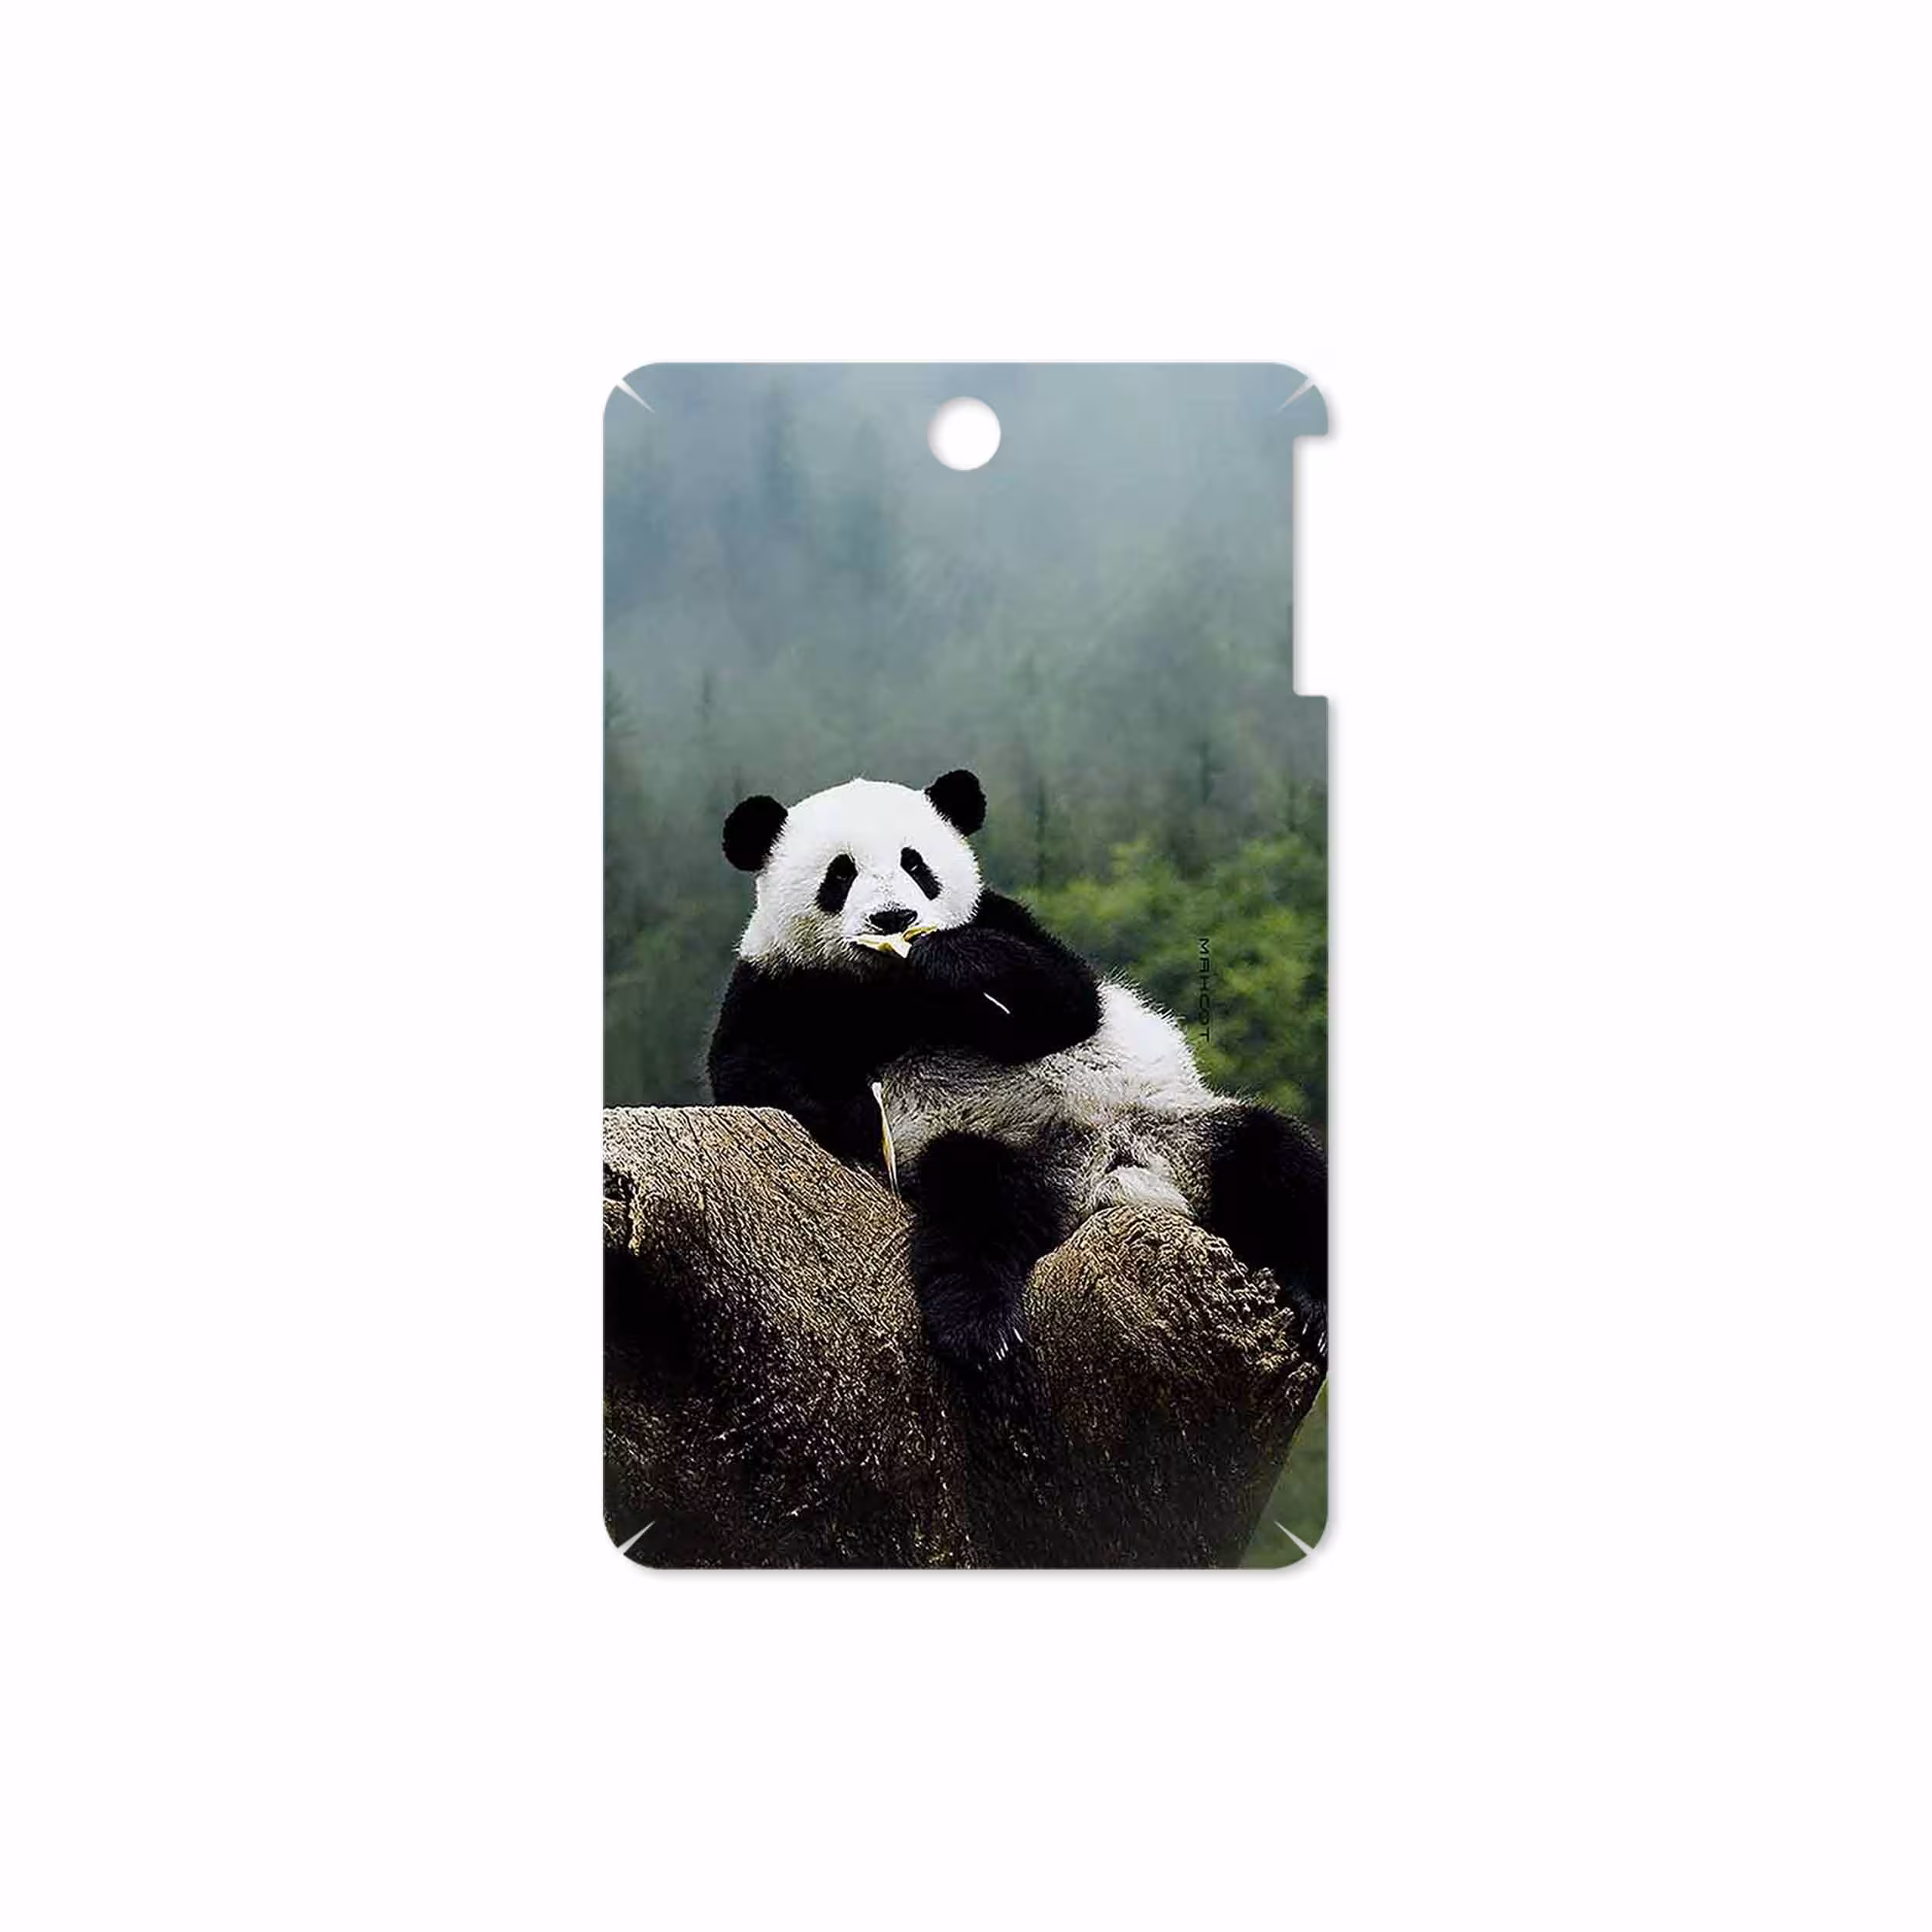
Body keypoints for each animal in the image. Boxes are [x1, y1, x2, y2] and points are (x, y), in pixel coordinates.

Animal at [707, 768, 1326, 1371]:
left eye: (916, 865)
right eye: (840, 875)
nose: (894, 918)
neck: (892, 987)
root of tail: (1106, 1178)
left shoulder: (1002, 919)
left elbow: (1068, 1000)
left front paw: (950, 960)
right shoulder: (779, 981)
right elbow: (748, 1069)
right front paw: (859, 1113)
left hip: (1176, 1128)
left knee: (1277, 1161)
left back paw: (1316, 1304)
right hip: (991, 1146)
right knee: (974, 1210)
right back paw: (981, 1328)